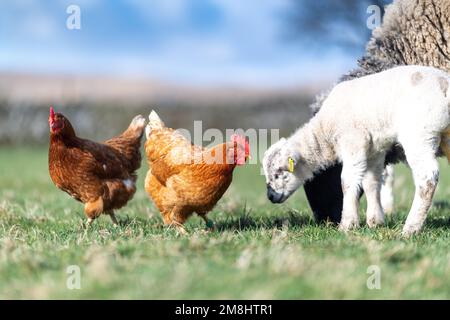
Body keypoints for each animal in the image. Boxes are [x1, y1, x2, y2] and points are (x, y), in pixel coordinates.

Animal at [262, 65, 450, 236]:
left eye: (278, 174)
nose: (270, 197)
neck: (325, 132)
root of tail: (445, 85)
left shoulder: (353, 142)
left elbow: (347, 181)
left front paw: (348, 224)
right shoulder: (374, 148)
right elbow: (371, 182)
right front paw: (375, 222)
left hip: (419, 134)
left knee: (427, 177)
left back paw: (411, 228)